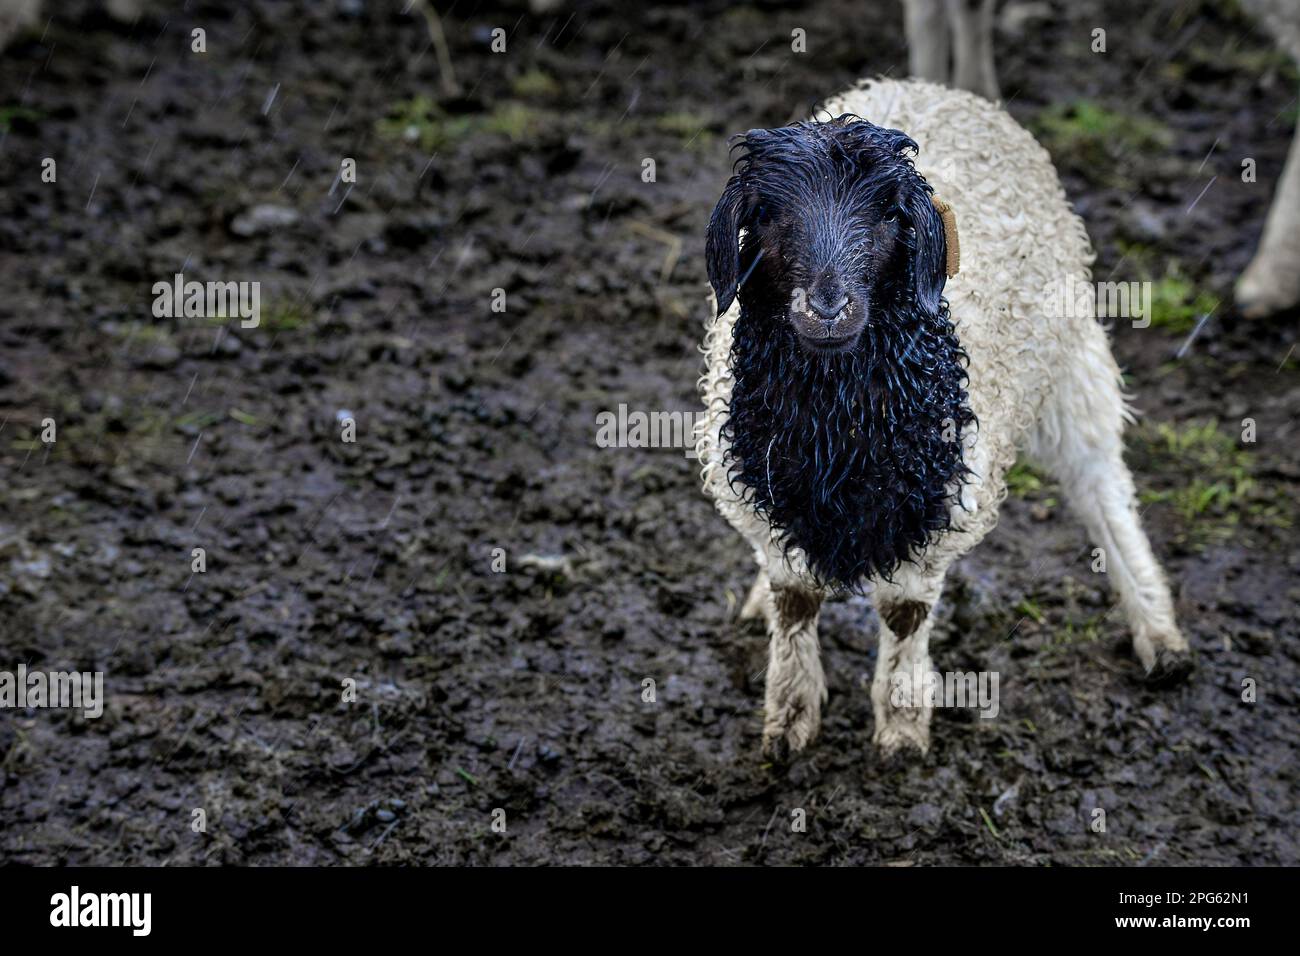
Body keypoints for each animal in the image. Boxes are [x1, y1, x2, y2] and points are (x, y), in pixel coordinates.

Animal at [695, 77, 1192, 760]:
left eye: (889, 215)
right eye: (768, 213)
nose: (828, 308)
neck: (838, 426)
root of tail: (939, 88)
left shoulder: (942, 506)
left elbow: (904, 615)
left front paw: (902, 727)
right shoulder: (762, 492)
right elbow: (794, 600)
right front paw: (788, 721)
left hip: (1072, 362)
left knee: (1101, 485)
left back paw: (1157, 629)